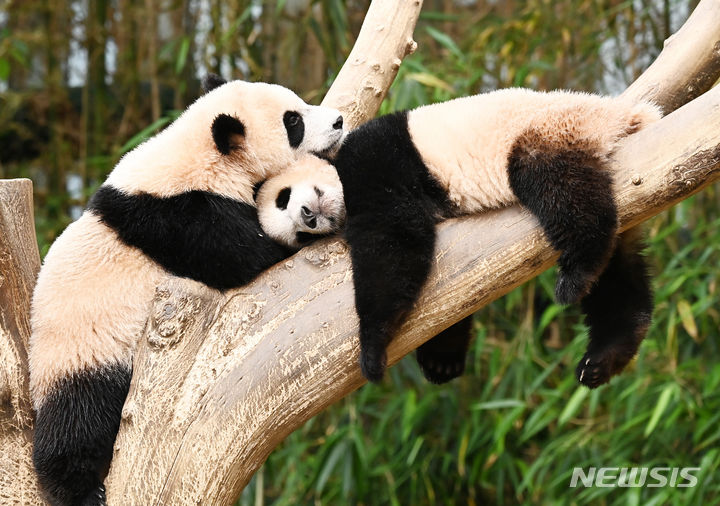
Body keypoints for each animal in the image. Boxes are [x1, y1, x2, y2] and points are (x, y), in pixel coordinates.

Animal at [28, 75, 344, 506]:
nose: (339, 121)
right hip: (81, 350)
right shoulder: (183, 216)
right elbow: (245, 255)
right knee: (77, 419)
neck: (199, 154)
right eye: (293, 121)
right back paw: (80, 490)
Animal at [330, 89, 660, 386]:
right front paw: (442, 360)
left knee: (563, 189)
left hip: (553, 132)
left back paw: (576, 276)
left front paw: (372, 350)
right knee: (619, 276)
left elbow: (393, 244)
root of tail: (626, 114)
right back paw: (603, 358)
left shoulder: (375, 168)